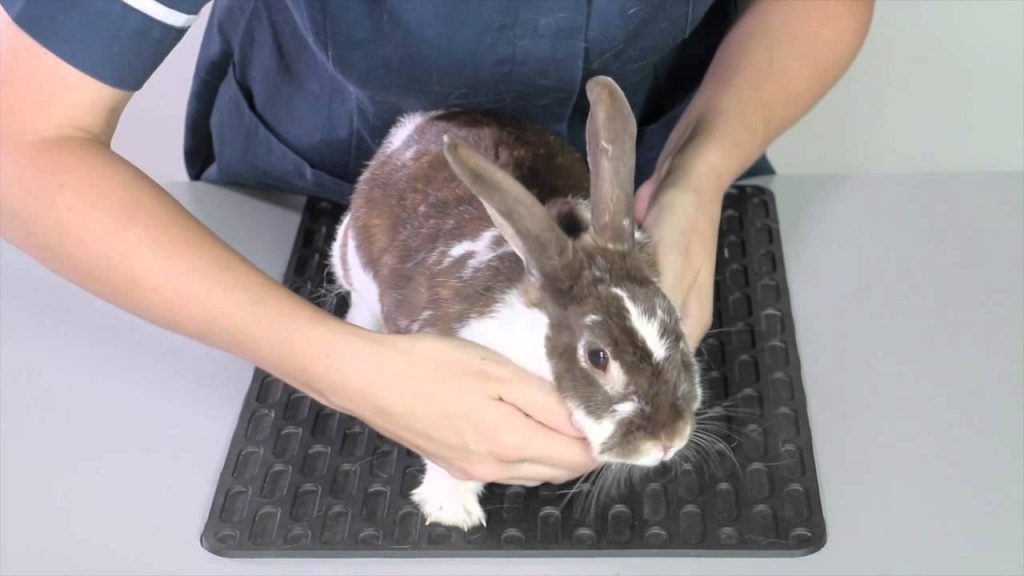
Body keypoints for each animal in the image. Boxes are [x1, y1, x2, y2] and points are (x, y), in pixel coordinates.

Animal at [328, 76, 703, 529]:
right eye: (598, 357)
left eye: (674, 323)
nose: (669, 439)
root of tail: (418, 123)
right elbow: (449, 464)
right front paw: (451, 510)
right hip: (353, 260)